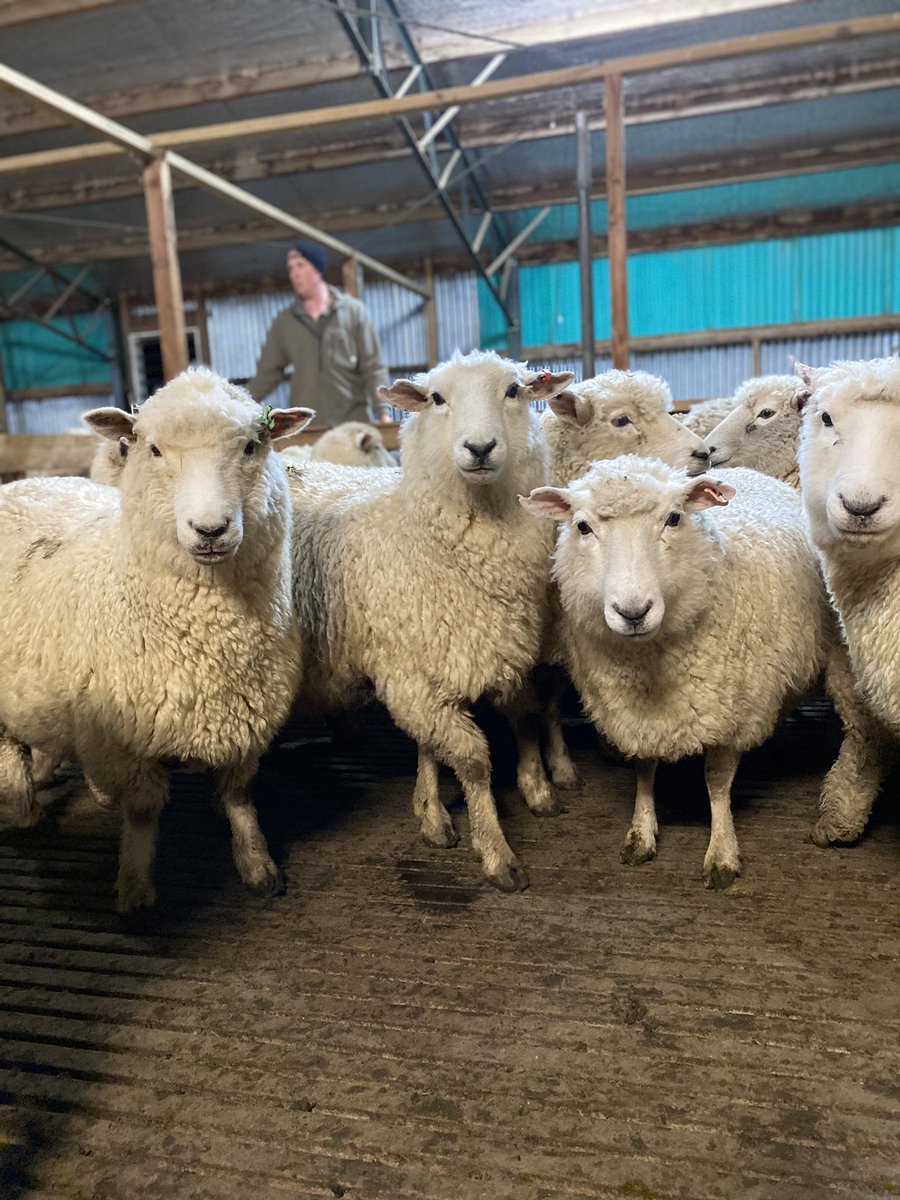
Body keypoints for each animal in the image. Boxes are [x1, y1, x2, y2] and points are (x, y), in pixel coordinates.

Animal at [0, 367, 313, 914]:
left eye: (251, 446)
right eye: (154, 449)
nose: (210, 530)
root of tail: (28, 482)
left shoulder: (247, 717)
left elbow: (239, 797)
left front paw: (256, 862)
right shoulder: (126, 740)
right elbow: (144, 813)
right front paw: (136, 887)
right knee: (9, 748)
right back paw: (23, 809)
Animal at [288, 350, 574, 891]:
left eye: (513, 391)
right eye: (438, 398)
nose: (479, 447)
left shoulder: (485, 648)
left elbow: (515, 715)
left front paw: (445, 807)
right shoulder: (409, 672)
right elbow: (471, 759)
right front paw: (495, 851)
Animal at [522, 457, 832, 889]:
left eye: (673, 518)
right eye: (583, 526)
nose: (633, 612)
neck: (649, 670)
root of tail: (744, 470)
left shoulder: (730, 714)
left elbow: (716, 782)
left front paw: (722, 852)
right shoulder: (634, 716)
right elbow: (644, 770)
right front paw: (641, 832)